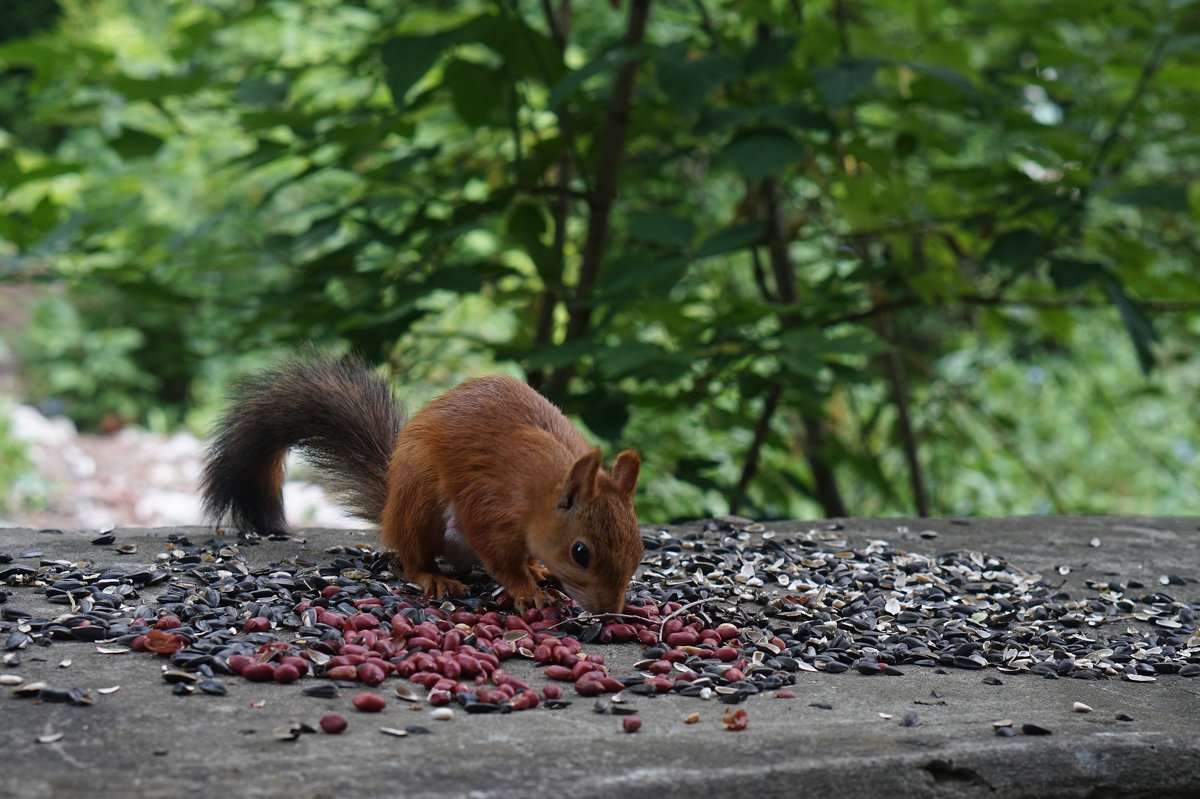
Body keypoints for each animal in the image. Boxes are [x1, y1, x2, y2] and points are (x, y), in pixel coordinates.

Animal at [199, 355, 648, 609]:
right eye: (580, 552)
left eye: (640, 548)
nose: (610, 611)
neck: (538, 487)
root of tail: (390, 505)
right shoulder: (487, 504)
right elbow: (498, 555)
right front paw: (525, 590)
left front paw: (534, 572)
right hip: (419, 502)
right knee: (410, 561)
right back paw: (433, 577)